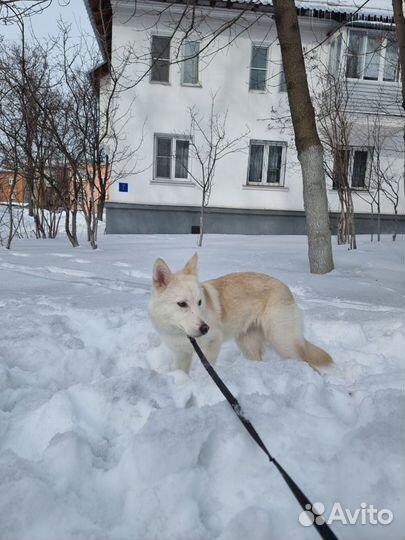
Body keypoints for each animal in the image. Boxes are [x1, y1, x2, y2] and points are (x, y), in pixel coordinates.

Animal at [148, 254, 332, 374]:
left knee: (308, 364)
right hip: (249, 346)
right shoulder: (181, 355)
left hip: (282, 342)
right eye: (182, 304)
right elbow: (181, 373)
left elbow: (206, 370)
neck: (182, 333)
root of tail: (286, 288)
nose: (205, 328)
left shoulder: (213, 345)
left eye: (200, 302)